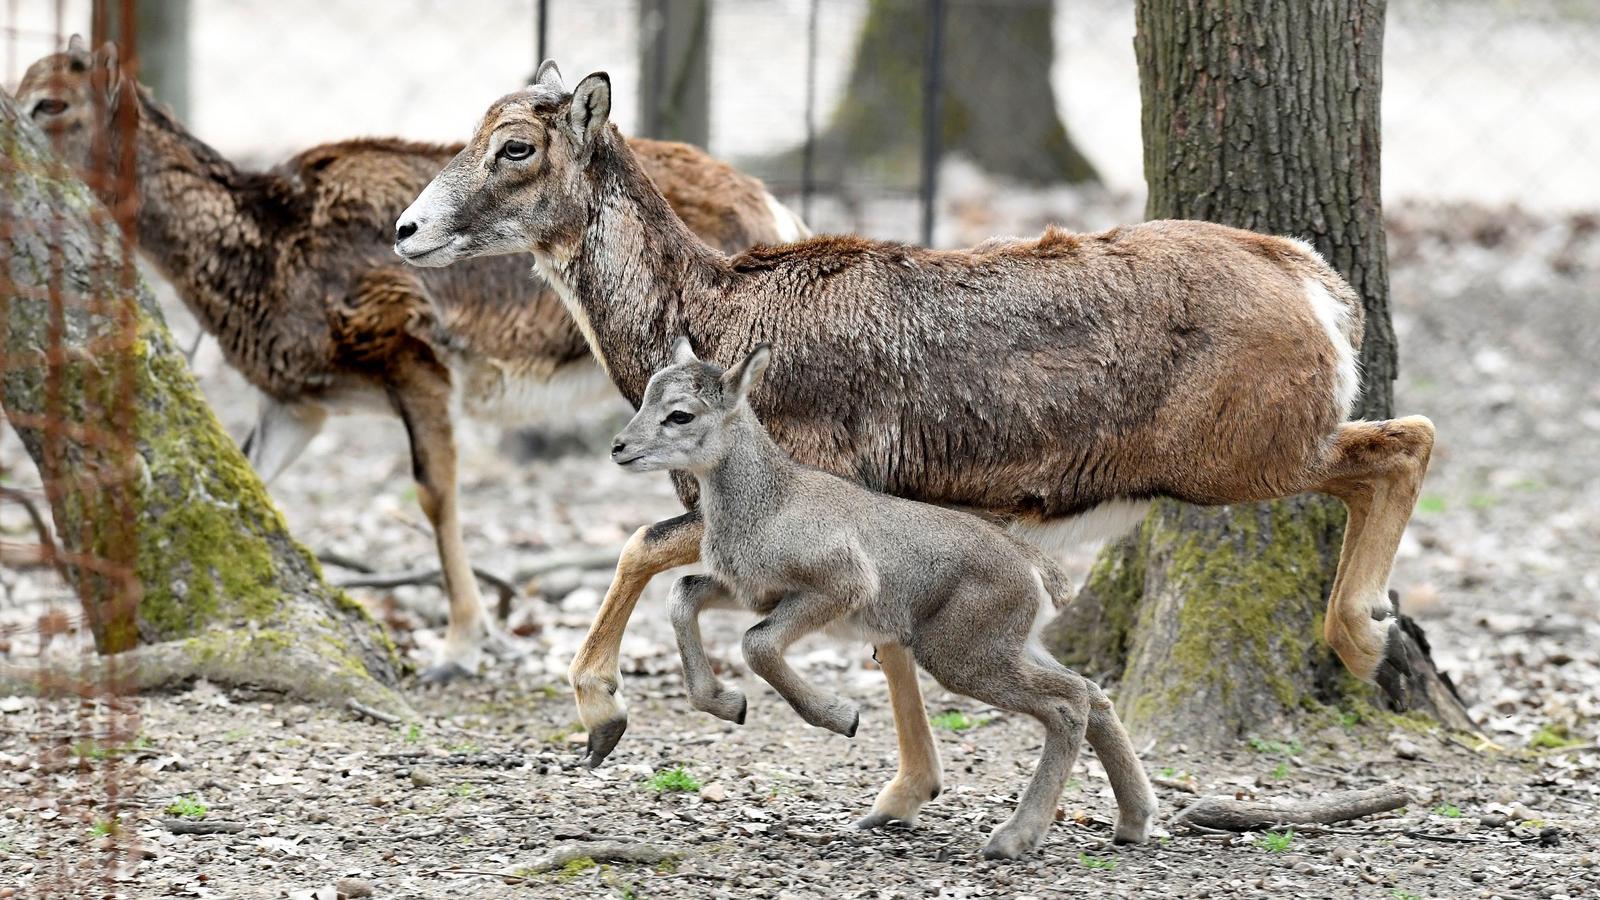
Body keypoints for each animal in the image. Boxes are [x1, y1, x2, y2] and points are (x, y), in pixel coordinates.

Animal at [608, 339, 1152, 858]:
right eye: (647, 397)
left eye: (680, 414)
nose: (619, 447)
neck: (770, 504)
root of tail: (1033, 566)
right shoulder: (752, 593)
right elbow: (683, 595)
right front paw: (728, 703)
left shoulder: (841, 586)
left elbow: (755, 645)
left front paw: (840, 717)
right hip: (1011, 647)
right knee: (1092, 692)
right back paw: (1133, 821)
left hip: (963, 657)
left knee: (1068, 702)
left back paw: (1013, 838)